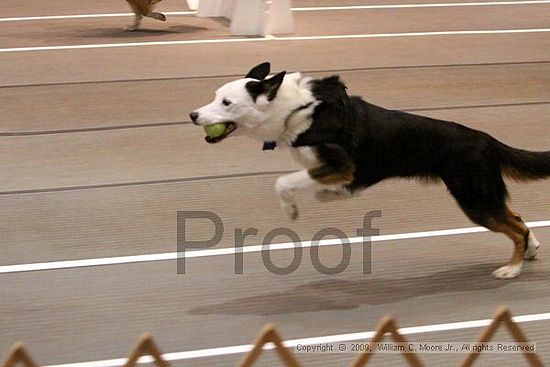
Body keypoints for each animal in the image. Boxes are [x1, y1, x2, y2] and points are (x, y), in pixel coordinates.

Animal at [191, 62, 550, 278]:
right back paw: (530, 250)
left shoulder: (341, 165)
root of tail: (485, 139)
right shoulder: (332, 170)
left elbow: (283, 182)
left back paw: (512, 268)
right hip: (482, 194)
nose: (193, 115)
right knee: (517, 218)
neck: (294, 110)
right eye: (215, 97)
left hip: (474, 197)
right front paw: (329, 196)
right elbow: (312, 185)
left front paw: (292, 209)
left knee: (515, 228)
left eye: (226, 103)